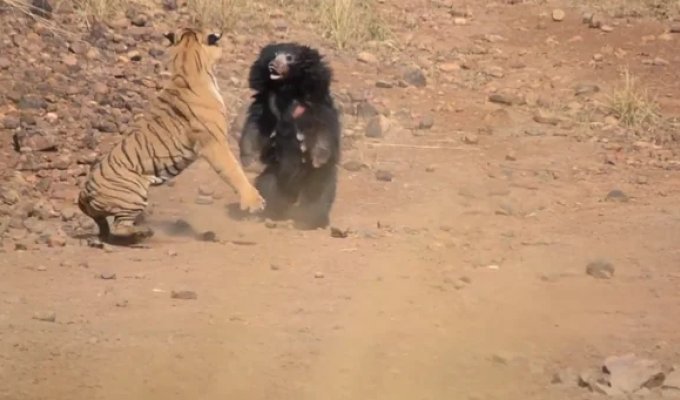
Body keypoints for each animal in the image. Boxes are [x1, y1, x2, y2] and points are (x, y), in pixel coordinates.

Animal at [77, 27, 265, 245]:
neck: (187, 65)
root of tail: (84, 192)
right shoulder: (214, 144)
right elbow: (234, 171)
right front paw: (253, 201)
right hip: (133, 193)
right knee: (119, 228)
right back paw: (144, 234)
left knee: (106, 230)